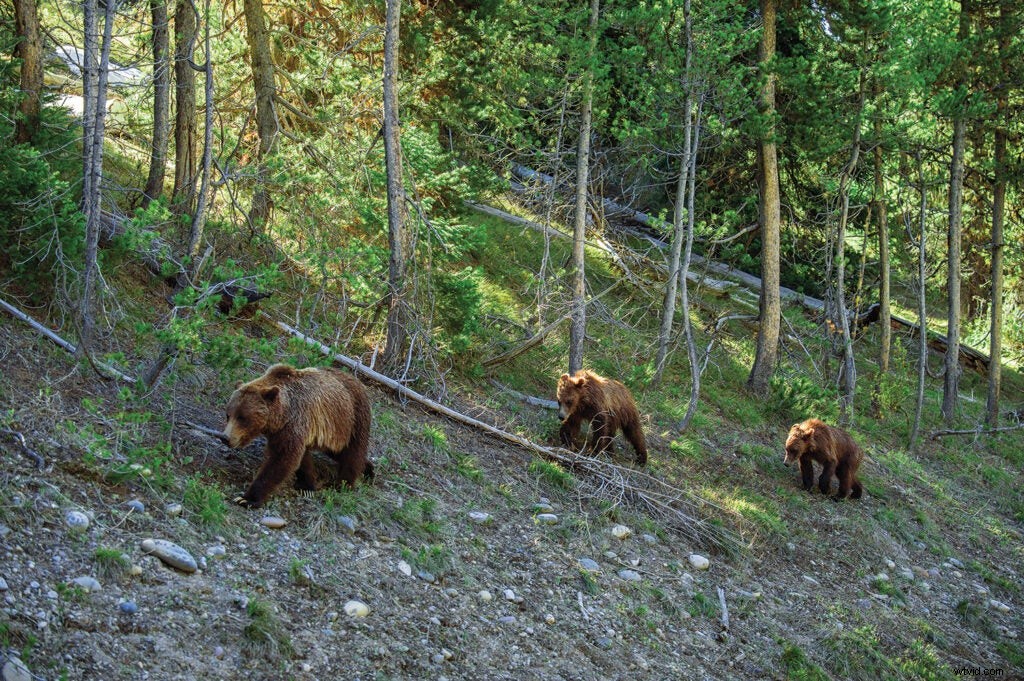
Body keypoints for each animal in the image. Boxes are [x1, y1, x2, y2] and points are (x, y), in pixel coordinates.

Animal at [223, 363, 373, 508]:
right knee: (339, 452)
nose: (225, 437)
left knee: (353, 452)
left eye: (243, 418)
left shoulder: (295, 423)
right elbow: (301, 459)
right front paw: (306, 484)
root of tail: (358, 380)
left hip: (352, 418)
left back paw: (343, 483)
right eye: (228, 415)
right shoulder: (287, 432)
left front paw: (247, 499)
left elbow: (281, 459)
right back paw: (368, 468)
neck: (282, 415)